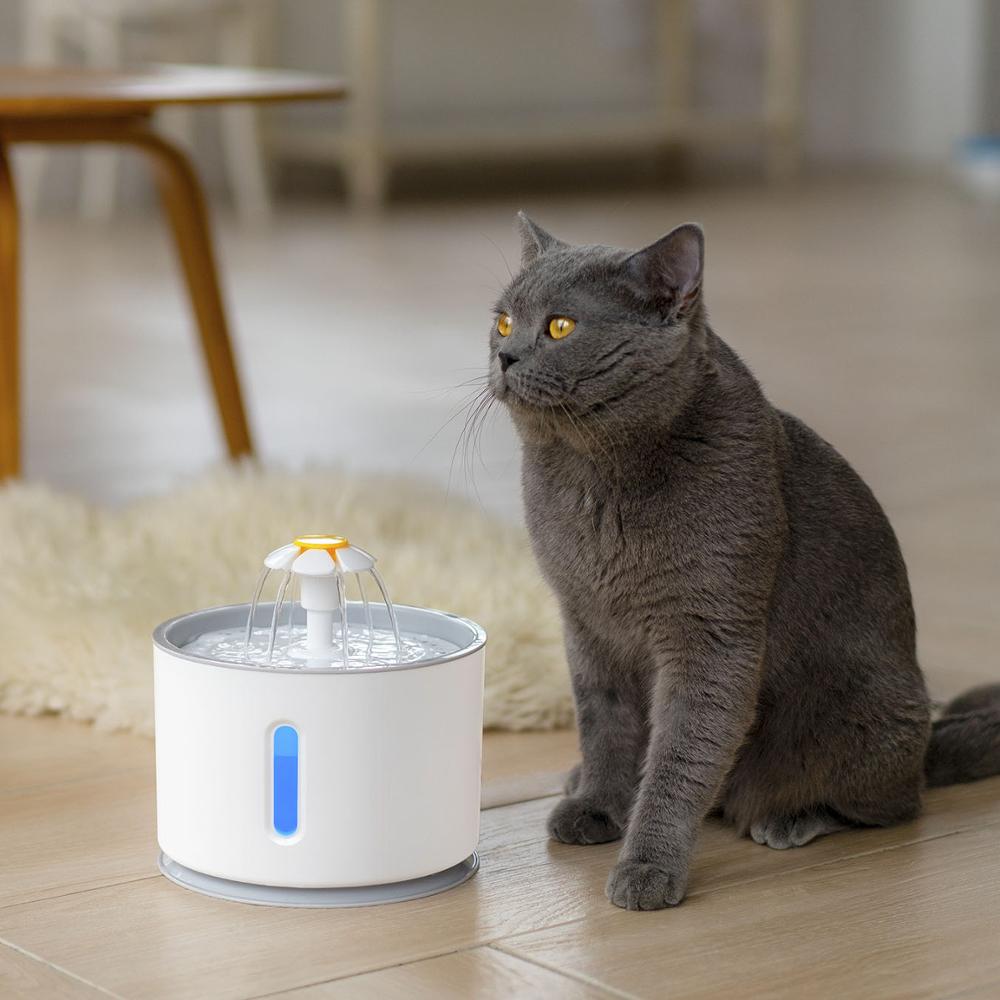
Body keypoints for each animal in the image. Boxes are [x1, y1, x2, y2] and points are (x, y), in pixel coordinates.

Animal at [490, 215, 1000, 912]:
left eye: (561, 326)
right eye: (504, 321)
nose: (504, 356)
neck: (589, 477)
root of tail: (925, 736)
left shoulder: (714, 633)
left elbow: (682, 757)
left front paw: (647, 868)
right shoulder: (586, 624)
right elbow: (604, 724)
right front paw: (596, 805)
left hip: (861, 712)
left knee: (895, 804)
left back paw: (791, 817)